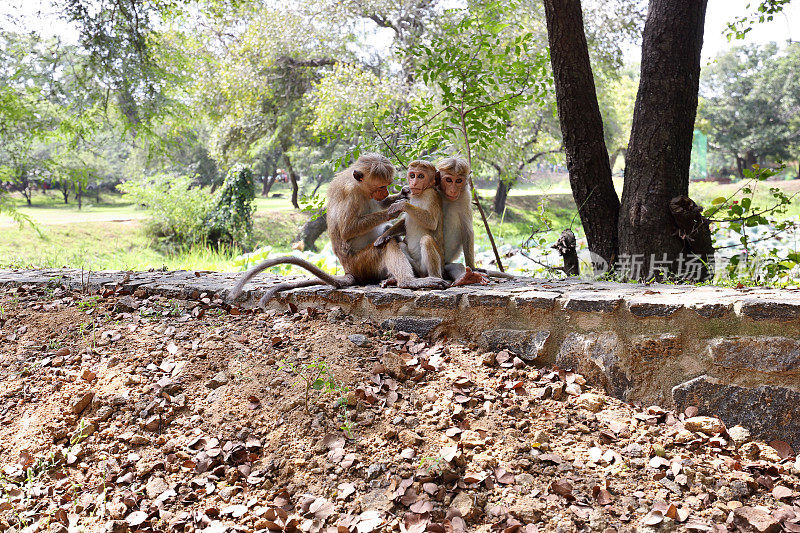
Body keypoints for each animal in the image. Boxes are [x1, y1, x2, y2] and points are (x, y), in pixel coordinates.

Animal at [227, 152, 450, 308]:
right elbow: (347, 230)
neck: (359, 187)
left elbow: (380, 205)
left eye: (386, 185)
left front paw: (401, 195)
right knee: (387, 245)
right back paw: (407, 282)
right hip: (362, 262)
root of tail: (349, 269)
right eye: (380, 186)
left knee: (389, 238)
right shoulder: (351, 194)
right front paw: (394, 209)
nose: (386, 191)